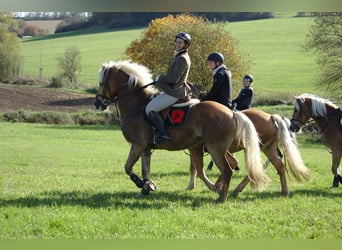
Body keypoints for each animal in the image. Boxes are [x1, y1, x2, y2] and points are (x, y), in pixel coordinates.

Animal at [93, 60, 270, 203]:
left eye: (102, 82)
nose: (98, 103)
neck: (136, 105)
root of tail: (232, 113)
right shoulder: (146, 148)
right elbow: (145, 169)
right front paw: (146, 187)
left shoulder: (138, 145)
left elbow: (128, 167)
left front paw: (140, 183)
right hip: (212, 148)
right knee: (227, 166)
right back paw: (219, 189)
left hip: (215, 148)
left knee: (227, 170)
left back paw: (221, 196)